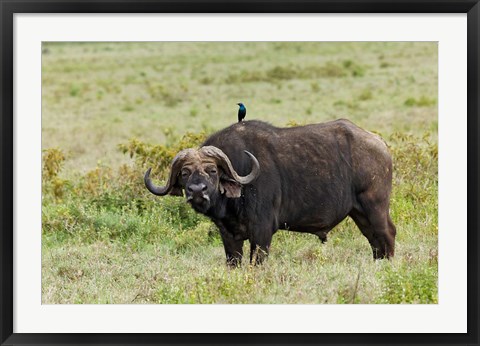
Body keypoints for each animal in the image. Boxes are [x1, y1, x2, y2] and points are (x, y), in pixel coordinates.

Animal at [144, 120, 396, 266]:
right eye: (185, 173)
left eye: (212, 170)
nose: (197, 190)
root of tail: (380, 144)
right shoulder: (228, 235)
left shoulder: (262, 232)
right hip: (359, 213)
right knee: (374, 240)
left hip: (375, 206)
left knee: (387, 234)